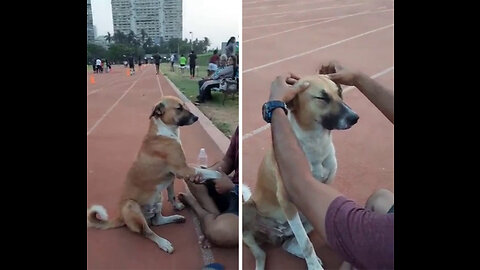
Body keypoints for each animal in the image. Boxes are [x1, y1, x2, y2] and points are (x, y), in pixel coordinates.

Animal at [87, 96, 219, 254]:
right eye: (179, 108)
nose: (197, 117)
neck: (165, 131)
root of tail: (120, 217)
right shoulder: (183, 170)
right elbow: (210, 172)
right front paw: (219, 175)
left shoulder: (172, 177)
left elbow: (172, 195)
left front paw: (176, 205)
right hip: (131, 206)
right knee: (147, 231)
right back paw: (164, 243)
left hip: (158, 198)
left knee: (157, 221)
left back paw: (175, 218)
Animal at [242, 75, 358, 270]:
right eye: (322, 97)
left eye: (340, 92)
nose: (355, 117)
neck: (315, 142)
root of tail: (277, 234)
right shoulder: (286, 200)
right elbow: (306, 243)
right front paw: (313, 267)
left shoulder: (322, 189)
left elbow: (305, 241)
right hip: (248, 210)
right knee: (262, 253)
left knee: (289, 243)